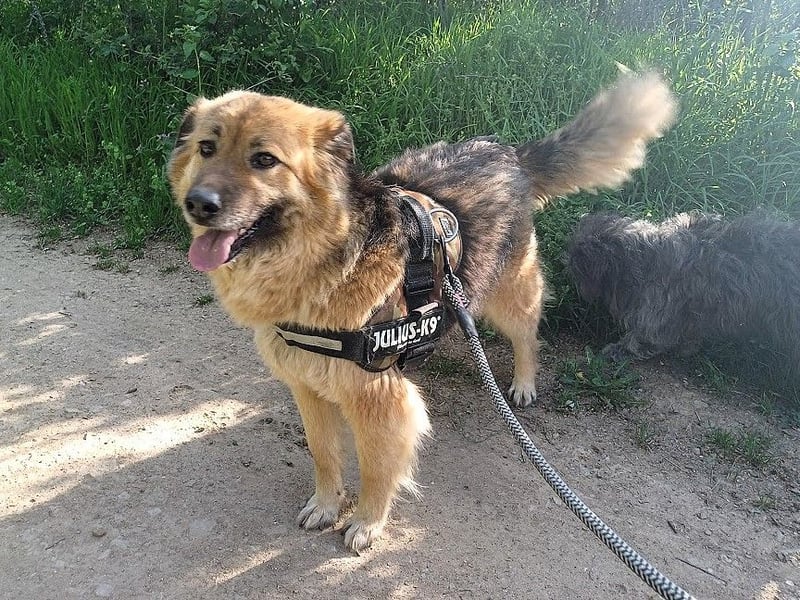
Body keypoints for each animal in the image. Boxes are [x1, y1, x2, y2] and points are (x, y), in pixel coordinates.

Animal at [168, 72, 676, 551]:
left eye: (264, 160)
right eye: (207, 148)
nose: (199, 205)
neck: (325, 264)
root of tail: (507, 153)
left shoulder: (378, 400)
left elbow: (377, 468)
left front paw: (368, 522)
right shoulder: (307, 387)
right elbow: (324, 454)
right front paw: (328, 504)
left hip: (510, 291)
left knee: (527, 335)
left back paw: (524, 382)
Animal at [566, 211, 800, 370]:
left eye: (576, 265)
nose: (565, 260)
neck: (645, 257)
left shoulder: (657, 312)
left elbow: (642, 338)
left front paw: (618, 350)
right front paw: (687, 348)